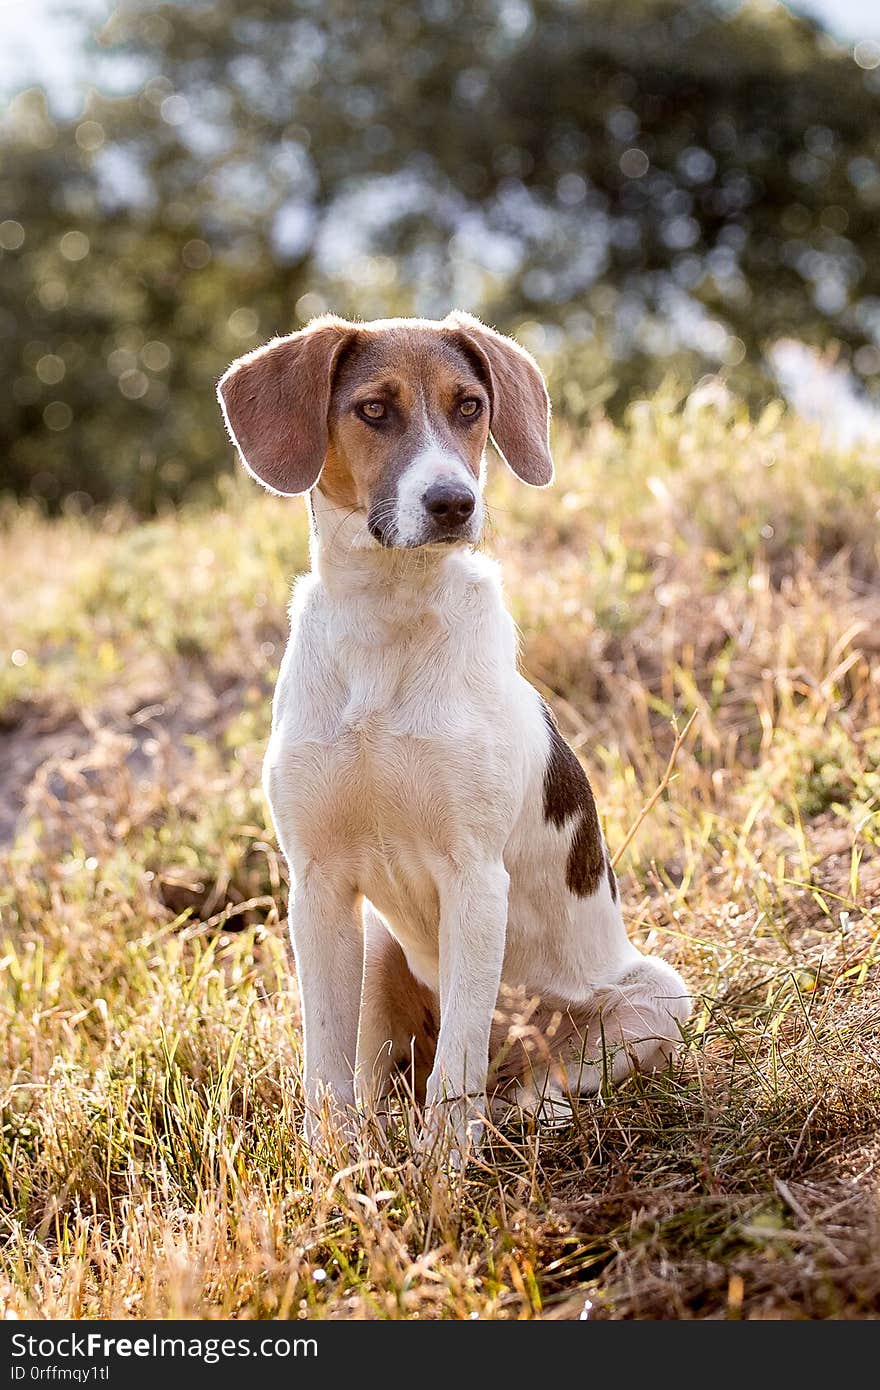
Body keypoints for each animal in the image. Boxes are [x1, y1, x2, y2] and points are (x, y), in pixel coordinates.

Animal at [216, 312, 689, 1150]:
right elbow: (326, 1074)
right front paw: (334, 1170)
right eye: (374, 409)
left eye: (469, 406)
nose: (453, 502)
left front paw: (444, 1170)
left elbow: (454, 1075)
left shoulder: (474, 877)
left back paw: (520, 1117)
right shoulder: (318, 885)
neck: (388, 622)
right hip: (376, 944)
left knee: (526, 1084)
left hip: (654, 996)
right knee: (383, 1079)